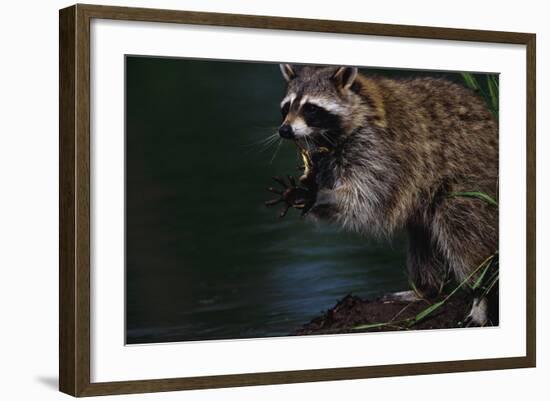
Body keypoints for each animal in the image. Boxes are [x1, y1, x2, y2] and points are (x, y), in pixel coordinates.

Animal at [270, 63, 500, 324]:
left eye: (311, 108)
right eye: (287, 107)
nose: (285, 130)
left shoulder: (381, 149)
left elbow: (368, 198)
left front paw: (321, 195)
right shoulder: (328, 155)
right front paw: (309, 189)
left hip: (471, 180)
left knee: (461, 230)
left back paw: (481, 294)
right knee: (420, 234)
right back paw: (426, 288)